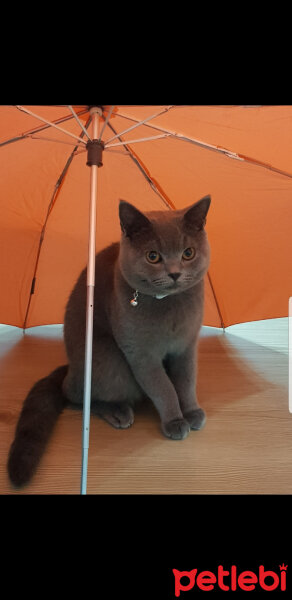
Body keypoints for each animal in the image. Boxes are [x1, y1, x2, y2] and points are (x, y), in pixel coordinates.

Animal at [8, 197, 211, 488]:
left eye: (188, 253)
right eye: (153, 256)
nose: (174, 273)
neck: (169, 307)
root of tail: (70, 368)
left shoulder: (186, 346)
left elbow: (185, 381)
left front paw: (192, 412)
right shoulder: (140, 354)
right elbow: (163, 387)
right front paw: (175, 420)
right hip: (107, 357)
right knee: (75, 394)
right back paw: (117, 411)